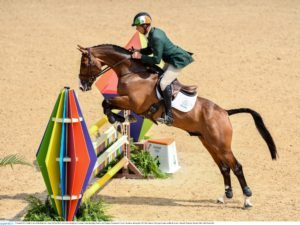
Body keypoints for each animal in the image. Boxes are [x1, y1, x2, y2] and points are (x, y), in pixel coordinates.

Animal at [77, 43, 276, 208]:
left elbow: (107, 103)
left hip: (222, 144)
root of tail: (225, 112)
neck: (132, 73)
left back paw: (247, 199)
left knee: (236, 167)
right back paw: (225, 195)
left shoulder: (133, 103)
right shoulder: (128, 103)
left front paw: (116, 119)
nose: (82, 86)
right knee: (224, 167)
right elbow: (107, 105)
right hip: (209, 143)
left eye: (84, 62)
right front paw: (121, 120)